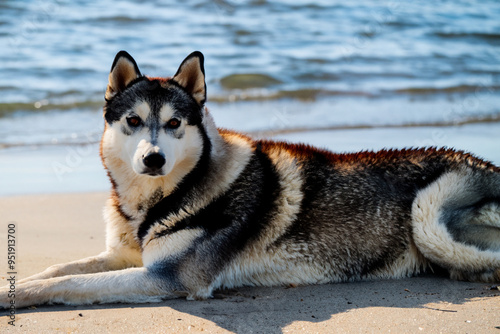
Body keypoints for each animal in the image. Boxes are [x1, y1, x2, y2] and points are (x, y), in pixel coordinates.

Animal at [0, 50, 500, 308]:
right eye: (133, 121)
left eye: (175, 123)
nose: (154, 159)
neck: (166, 196)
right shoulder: (122, 255)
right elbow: (61, 270)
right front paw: (21, 282)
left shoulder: (170, 278)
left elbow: (69, 284)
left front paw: (18, 296)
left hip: (428, 212)